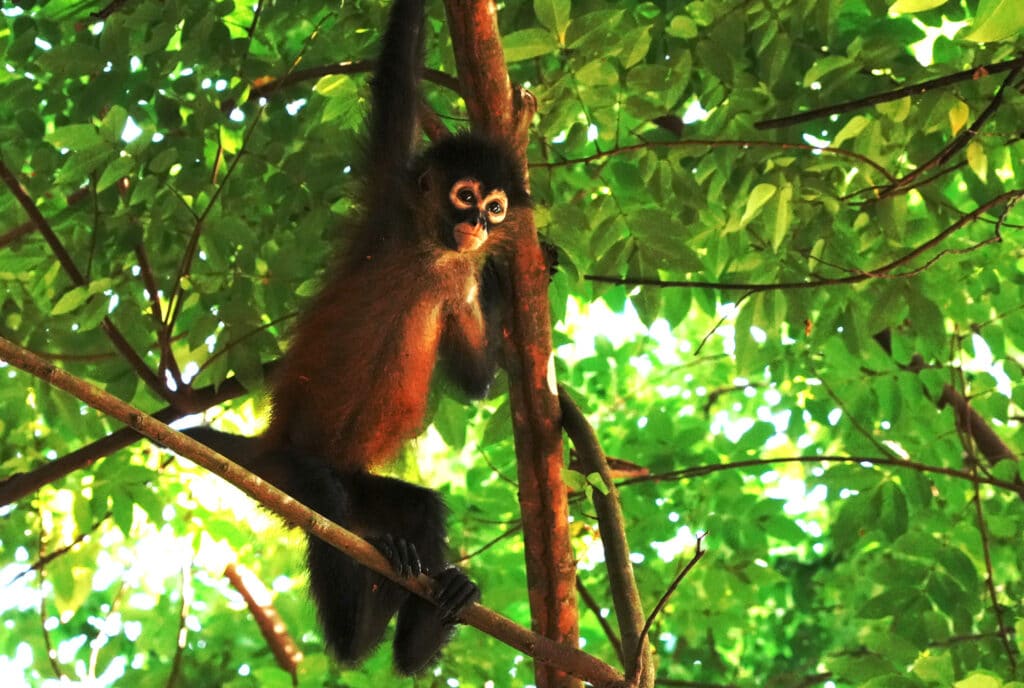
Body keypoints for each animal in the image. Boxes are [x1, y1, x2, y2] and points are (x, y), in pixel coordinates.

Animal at [184, 0, 529, 674]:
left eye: (497, 207)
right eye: (466, 195)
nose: (479, 224)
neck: (431, 251)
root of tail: (264, 448)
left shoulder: (455, 282)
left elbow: (476, 382)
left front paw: (508, 276)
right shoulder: (389, 193)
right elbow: (394, 79)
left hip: (363, 487)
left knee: (418, 510)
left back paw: (419, 618)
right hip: (289, 468)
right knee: (323, 505)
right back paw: (355, 634)